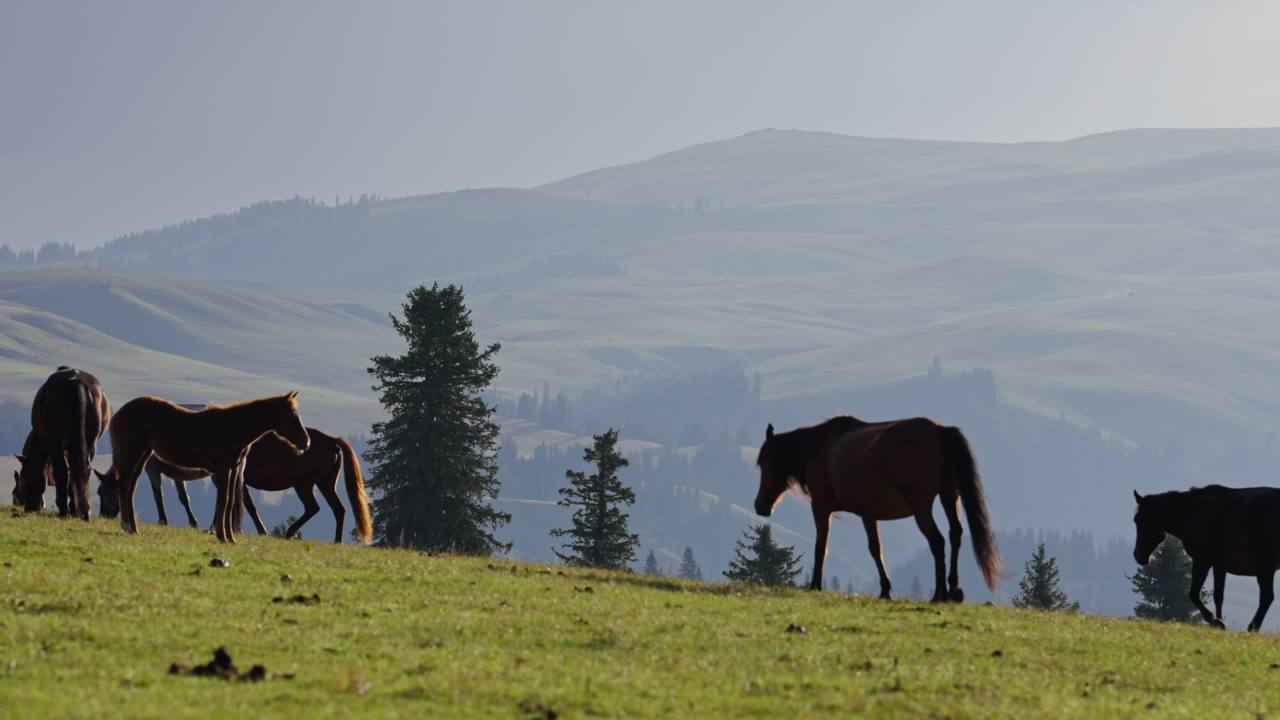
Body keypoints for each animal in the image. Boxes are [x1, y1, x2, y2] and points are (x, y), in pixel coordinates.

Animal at [17, 367, 110, 519]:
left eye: (24, 478)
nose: (30, 508)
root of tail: (76, 382)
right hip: (90, 442)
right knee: (82, 469)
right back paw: (80, 510)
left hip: (56, 442)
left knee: (62, 471)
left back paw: (64, 510)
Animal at [96, 426, 372, 544]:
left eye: (104, 491)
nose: (104, 514)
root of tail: (332, 440)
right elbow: (242, 504)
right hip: (324, 483)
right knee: (339, 509)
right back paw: (335, 540)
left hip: (304, 484)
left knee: (314, 508)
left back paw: (291, 532)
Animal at [108, 393, 310, 543]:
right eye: (292, 415)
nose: (306, 443)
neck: (234, 427)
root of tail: (119, 413)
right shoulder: (223, 469)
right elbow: (223, 501)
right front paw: (222, 536)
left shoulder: (232, 470)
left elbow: (229, 502)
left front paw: (230, 538)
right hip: (134, 454)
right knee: (125, 486)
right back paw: (127, 526)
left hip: (144, 455)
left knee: (130, 487)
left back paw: (133, 529)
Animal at [754, 416, 1003, 602]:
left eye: (764, 464)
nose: (760, 506)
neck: (819, 448)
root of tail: (939, 431)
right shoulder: (868, 514)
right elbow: (875, 549)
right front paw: (885, 590)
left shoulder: (821, 507)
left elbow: (820, 547)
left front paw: (815, 585)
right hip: (949, 497)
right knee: (955, 534)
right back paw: (954, 590)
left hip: (922, 507)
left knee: (937, 541)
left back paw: (939, 594)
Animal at [1133, 486, 1280, 632]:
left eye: (1138, 519)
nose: (1138, 555)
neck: (1189, 514)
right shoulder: (1219, 565)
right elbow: (1218, 596)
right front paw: (1219, 620)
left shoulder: (1202, 560)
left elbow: (1193, 593)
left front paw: (1215, 621)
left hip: (1265, 567)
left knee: (1267, 597)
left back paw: (1252, 627)